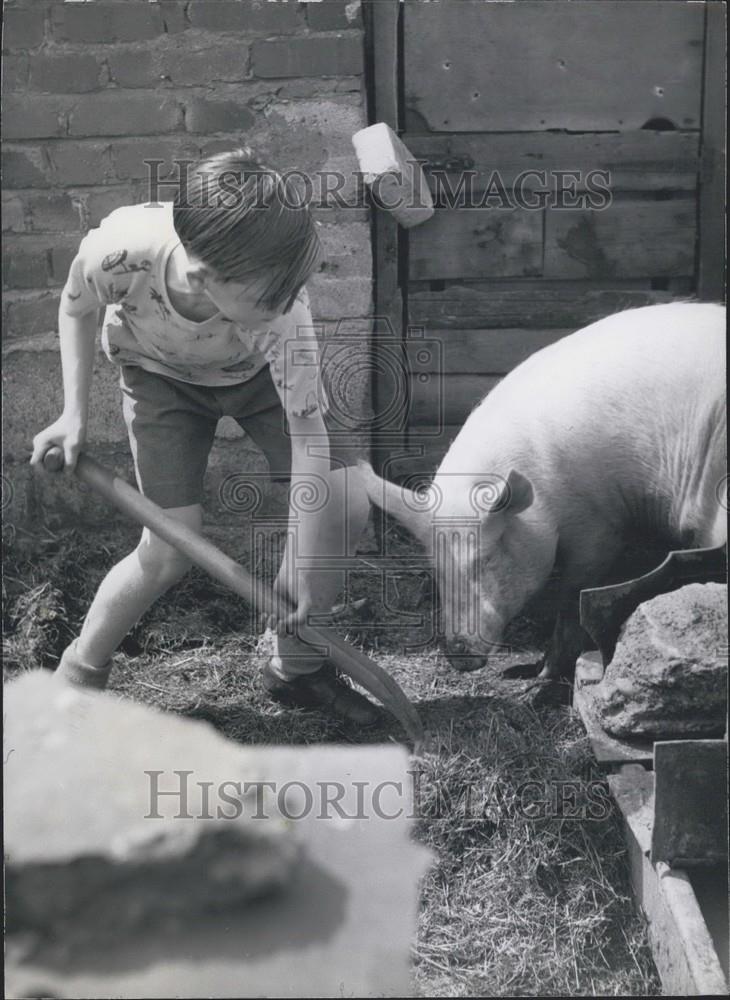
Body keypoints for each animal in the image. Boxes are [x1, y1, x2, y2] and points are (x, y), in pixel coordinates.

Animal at [362, 302, 724, 680]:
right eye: (438, 567)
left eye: (485, 558)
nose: (458, 654)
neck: (547, 486)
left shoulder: (599, 524)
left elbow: (573, 597)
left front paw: (537, 676)